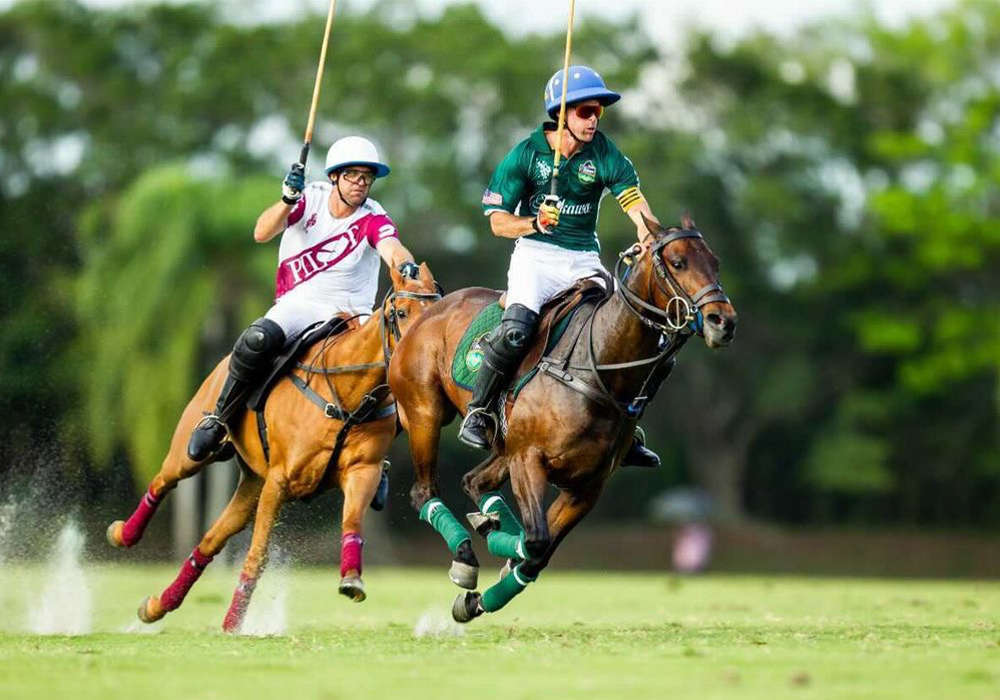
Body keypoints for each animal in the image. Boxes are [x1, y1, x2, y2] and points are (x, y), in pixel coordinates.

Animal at [104, 264, 442, 636]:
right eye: (401, 313)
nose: (423, 356)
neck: (347, 394)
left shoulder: (362, 471)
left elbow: (352, 519)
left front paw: (352, 579)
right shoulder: (279, 481)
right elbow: (259, 552)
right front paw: (233, 621)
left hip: (252, 485)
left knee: (209, 542)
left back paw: (156, 606)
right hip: (191, 451)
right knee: (164, 480)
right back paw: (123, 534)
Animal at [388, 216, 736, 620]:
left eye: (716, 263)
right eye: (678, 263)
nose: (723, 321)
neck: (596, 368)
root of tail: (426, 312)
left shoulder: (586, 487)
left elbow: (538, 554)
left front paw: (480, 596)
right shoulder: (529, 460)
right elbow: (536, 541)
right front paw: (497, 556)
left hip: (503, 446)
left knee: (474, 481)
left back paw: (487, 527)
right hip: (424, 413)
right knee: (425, 491)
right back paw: (465, 556)